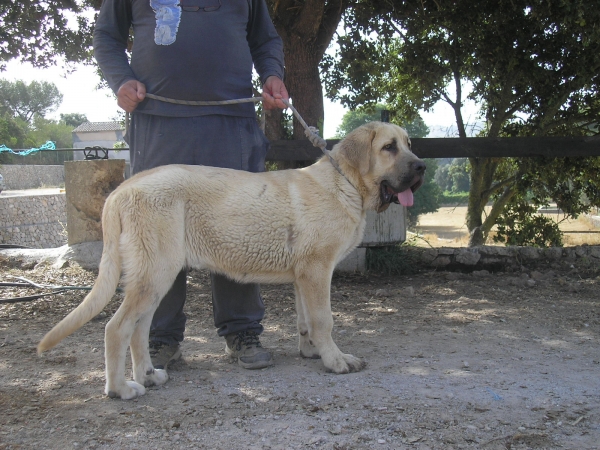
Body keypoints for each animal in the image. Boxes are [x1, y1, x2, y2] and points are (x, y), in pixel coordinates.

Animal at [38, 121, 422, 400]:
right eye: (389, 147)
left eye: (409, 144)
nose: (421, 167)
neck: (346, 184)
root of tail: (122, 189)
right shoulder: (317, 271)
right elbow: (323, 320)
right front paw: (336, 361)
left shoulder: (303, 275)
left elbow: (305, 321)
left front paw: (313, 352)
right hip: (155, 273)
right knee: (116, 329)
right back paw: (120, 389)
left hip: (154, 277)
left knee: (139, 329)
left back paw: (148, 376)